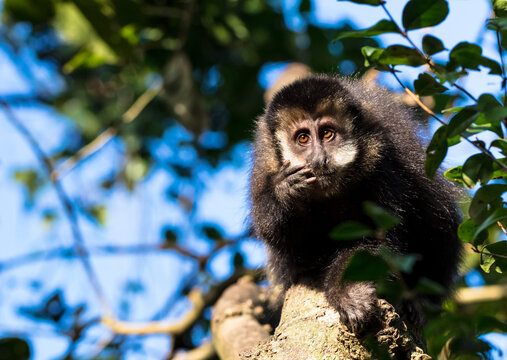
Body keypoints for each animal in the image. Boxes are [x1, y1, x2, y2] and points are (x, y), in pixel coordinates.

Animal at [250, 75, 464, 334]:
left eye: (327, 134)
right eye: (303, 138)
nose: (318, 159)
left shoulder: (380, 162)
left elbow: (375, 237)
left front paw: (348, 293)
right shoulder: (265, 163)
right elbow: (279, 237)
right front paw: (286, 192)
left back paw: (418, 301)